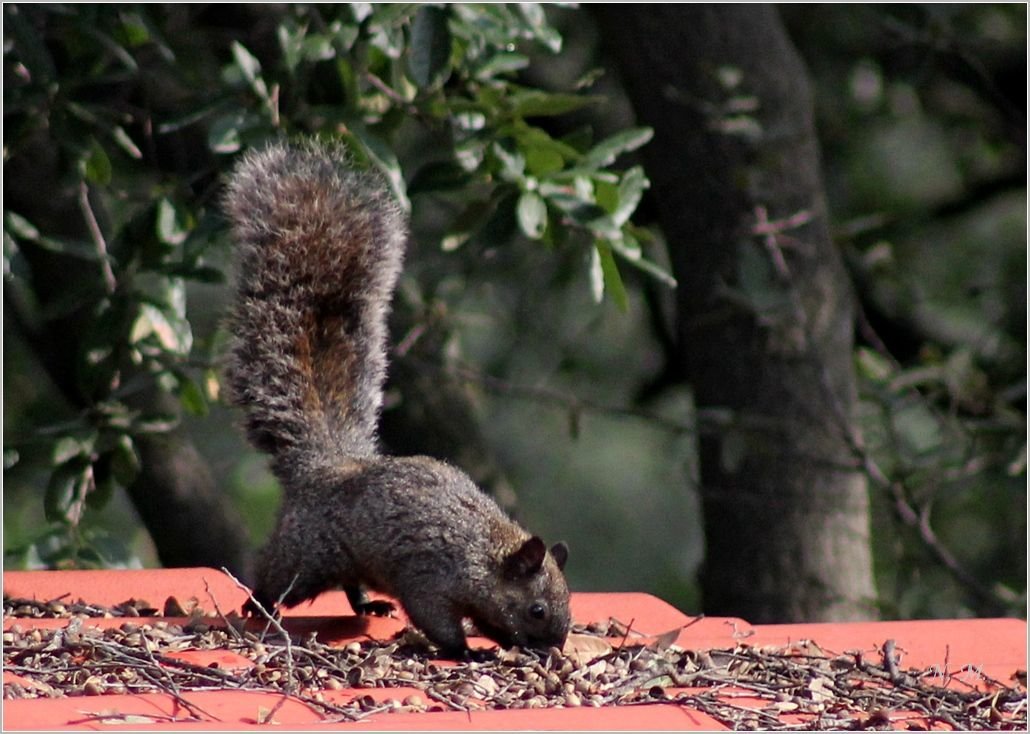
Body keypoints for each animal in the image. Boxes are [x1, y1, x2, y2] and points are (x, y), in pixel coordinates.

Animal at [223, 140, 572, 654]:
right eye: (538, 610)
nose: (553, 650)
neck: (482, 551)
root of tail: (324, 467)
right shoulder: (430, 577)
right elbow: (436, 617)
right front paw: (464, 651)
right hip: (307, 553)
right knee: (276, 575)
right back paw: (258, 604)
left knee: (349, 584)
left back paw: (368, 606)